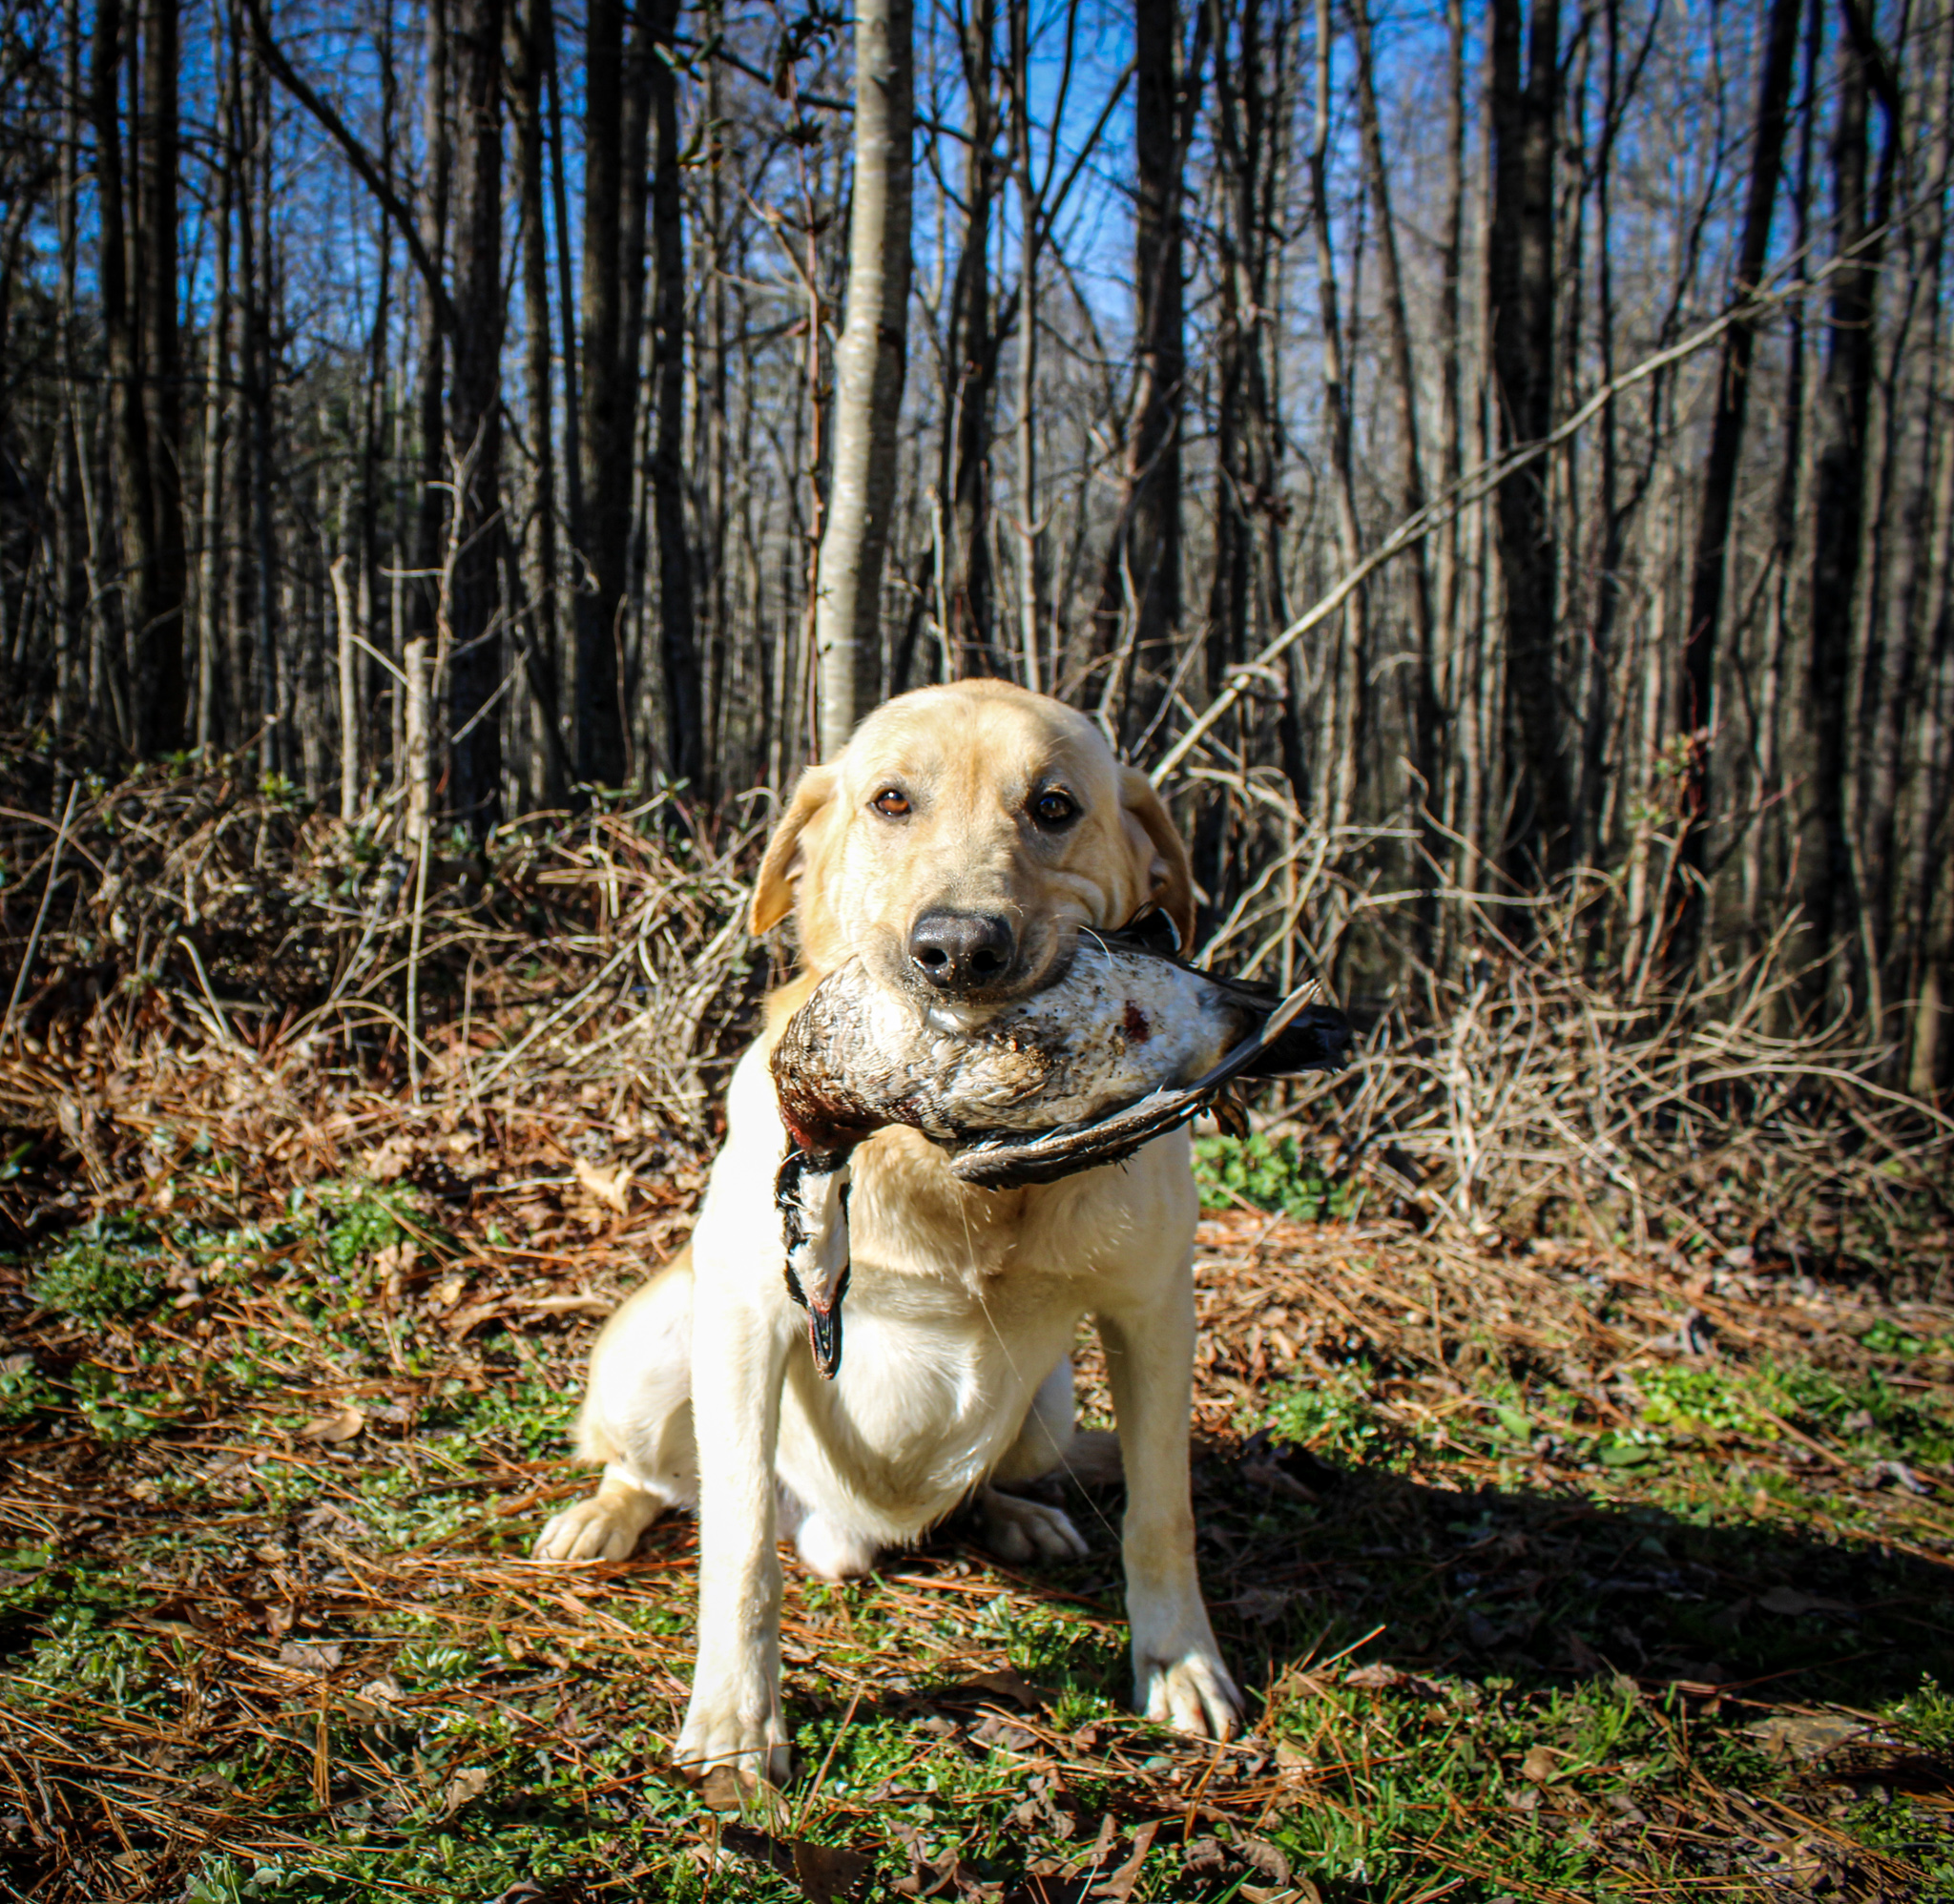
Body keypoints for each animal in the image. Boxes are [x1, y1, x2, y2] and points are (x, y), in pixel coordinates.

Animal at [535, 683, 1235, 1789]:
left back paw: (1015, 1515)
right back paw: (604, 1512)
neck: (945, 1158)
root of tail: (841, 1535)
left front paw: (1179, 1663)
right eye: (891, 801)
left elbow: (1164, 1513)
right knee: (660, 1477)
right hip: (660, 1348)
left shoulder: (1154, 1313)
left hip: (1048, 1404)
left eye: (1053, 806)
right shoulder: (747, 1323)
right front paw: (736, 1717)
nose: (957, 949)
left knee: (983, 1484)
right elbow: (736, 1544)